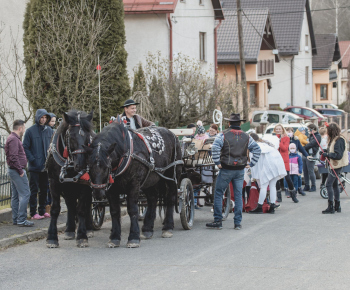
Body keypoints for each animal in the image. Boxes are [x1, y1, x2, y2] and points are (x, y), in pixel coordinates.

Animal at [46, 110, 96, 248]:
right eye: (71, 137)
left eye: (88, 138)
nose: (82, 165)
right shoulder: (54, 182)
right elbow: (55, 209)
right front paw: (52, 238)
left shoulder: (84, 184)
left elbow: (81, 209)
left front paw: (82, 236)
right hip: (68, 187)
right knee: (70, 204)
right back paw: (69, 230)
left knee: (87, 204)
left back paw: (89, 228)